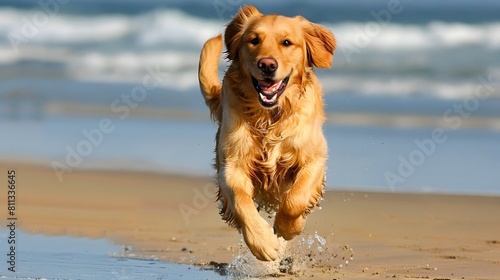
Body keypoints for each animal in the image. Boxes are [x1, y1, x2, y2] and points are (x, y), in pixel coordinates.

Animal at [197, 4, 334, 262]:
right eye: (254, 40)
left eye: (287, 42)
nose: (267, 65)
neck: (270, 118)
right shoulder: (231, 165)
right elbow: (241, 200)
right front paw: (263, 242)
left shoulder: (315, 158)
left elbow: (295, 198)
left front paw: (288, 227)